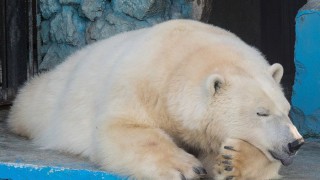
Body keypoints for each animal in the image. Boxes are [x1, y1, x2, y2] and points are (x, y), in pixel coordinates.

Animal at [7, 19, 302, 179]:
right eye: (261, 112)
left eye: (286, 110)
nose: (295, 143)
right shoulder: (142, 85)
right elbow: (121, 128)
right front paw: (186, 168)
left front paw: (232, 161)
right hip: (47, 100)